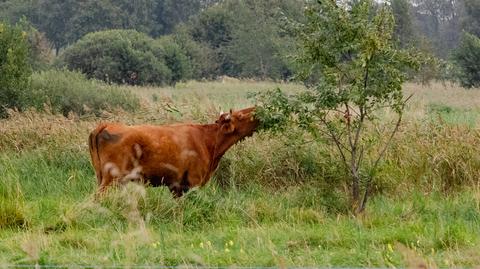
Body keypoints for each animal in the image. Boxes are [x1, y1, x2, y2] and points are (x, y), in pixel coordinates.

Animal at [86, 105, 258, 196]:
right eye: (240, 115)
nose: (257, 109)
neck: (207, 140)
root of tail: (107, 125)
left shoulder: (177, 186)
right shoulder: (194, 181)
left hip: (101, 176)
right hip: (111, 179)